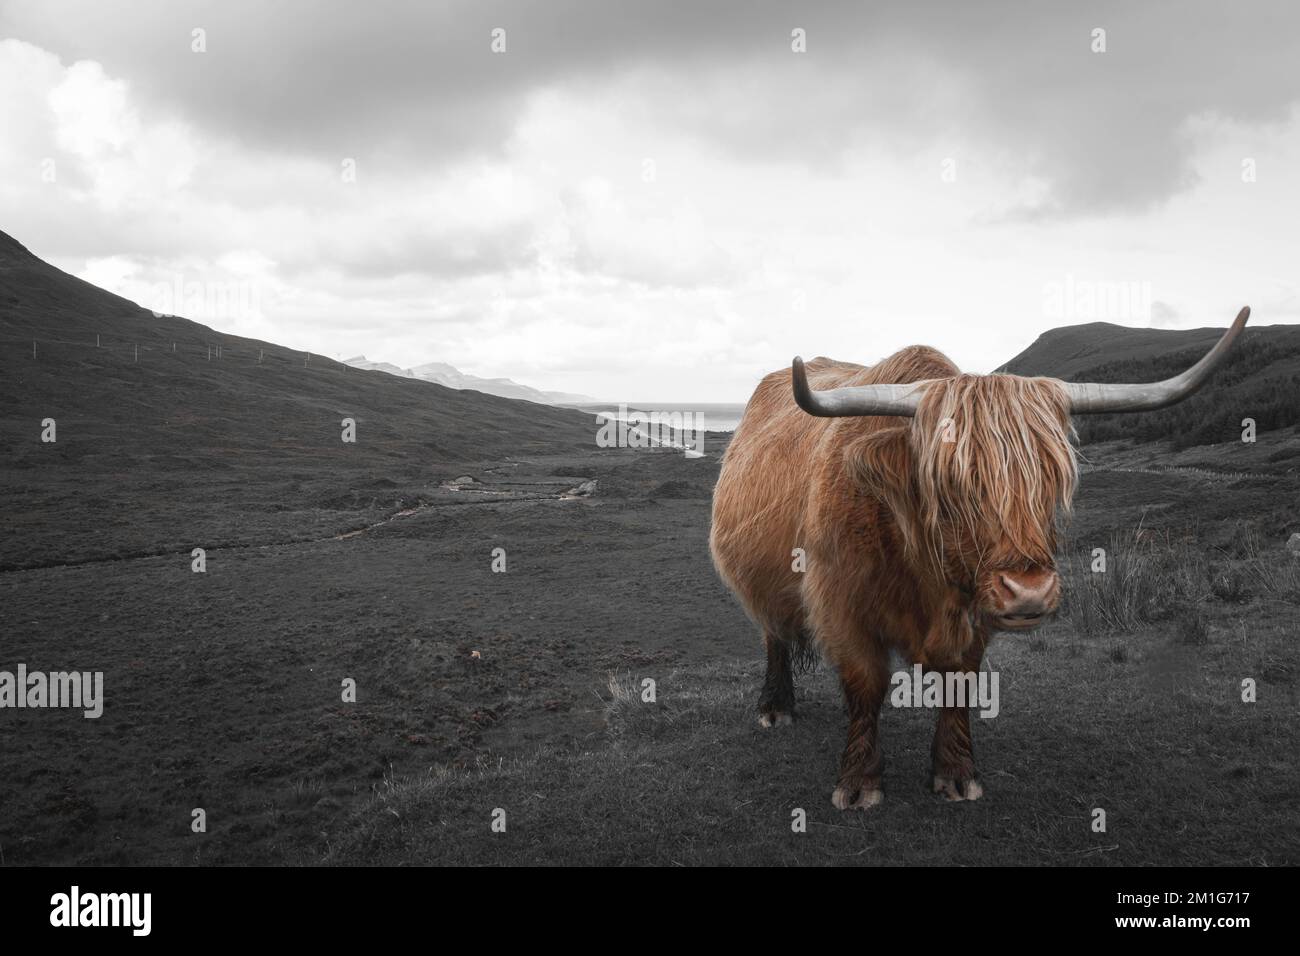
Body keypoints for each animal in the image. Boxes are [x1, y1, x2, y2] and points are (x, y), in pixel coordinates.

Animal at [709, 307, 1250, 809]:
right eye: (951, 485)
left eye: (1051, 479)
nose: (1030, 592)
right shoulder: (841, 601)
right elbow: (865, 685)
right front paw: (860, 784)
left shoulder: (974, 613)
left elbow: (959, 684)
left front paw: (955, 773)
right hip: (759, 584)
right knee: (774, 636)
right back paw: (776, 707)